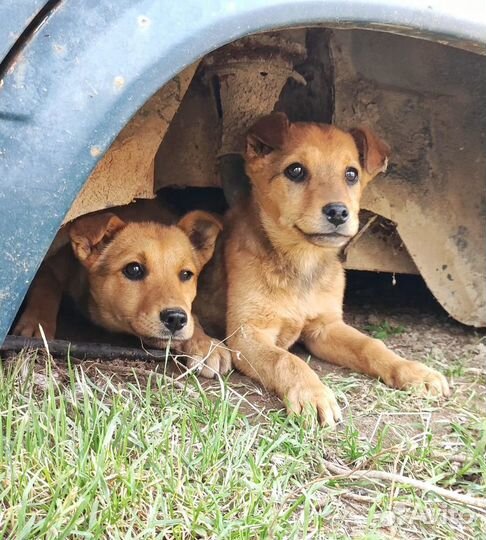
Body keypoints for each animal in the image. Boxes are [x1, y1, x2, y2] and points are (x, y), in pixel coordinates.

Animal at [13, 209, 230, 378]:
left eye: (186, 274)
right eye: (133, 269)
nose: (176, 319)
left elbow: (193, 317)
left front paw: (205, 344)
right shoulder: (50, 266)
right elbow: (45, 289)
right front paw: (37, 325)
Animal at [222, 113, 450, 426]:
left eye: (351, 174)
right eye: (295, 170)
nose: (339, 212)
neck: (303, 264)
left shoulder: (325, 328)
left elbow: (371, 345)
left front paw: (412, 370)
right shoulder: (246, 335)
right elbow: (287, 359)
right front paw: (313, 394)